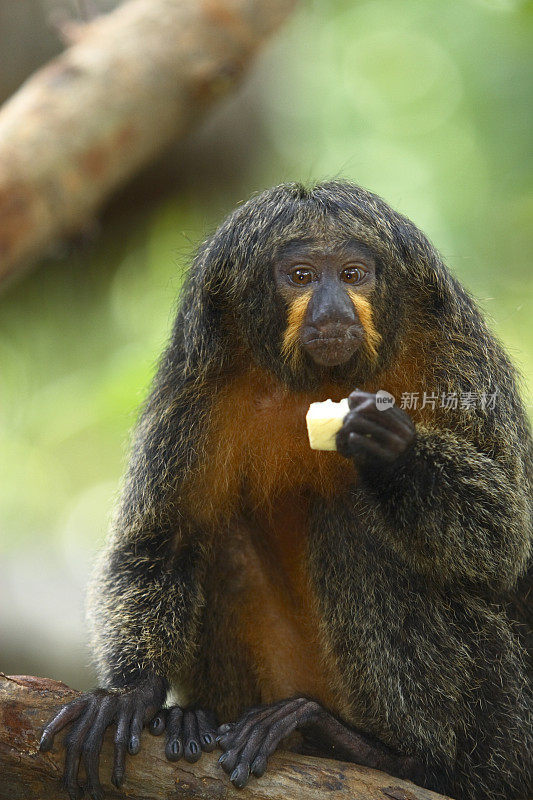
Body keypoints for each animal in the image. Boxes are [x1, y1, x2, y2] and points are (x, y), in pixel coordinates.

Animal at [40, 181, 532, 800]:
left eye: (352, 275)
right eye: (301, 276)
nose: (332, 308)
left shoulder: (460, 360)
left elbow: (505, 542)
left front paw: (393, 451)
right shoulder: (194, 390)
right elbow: (163, 540)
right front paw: (132, 692)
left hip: (508, 724)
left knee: (353, 524)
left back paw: (396, 757)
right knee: (219, 542)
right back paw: (197, 720)